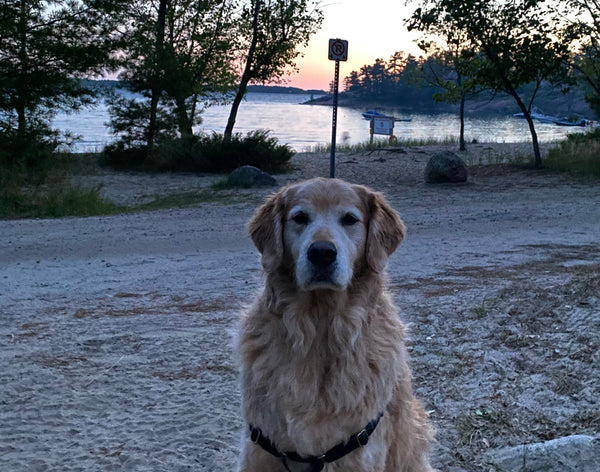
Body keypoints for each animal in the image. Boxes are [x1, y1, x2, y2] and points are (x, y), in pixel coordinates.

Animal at [237, 179, 434, 470]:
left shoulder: (359, 455)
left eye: (350, 219)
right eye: (300, 217)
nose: (322, 252)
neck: (320, 327)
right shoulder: (260, 452)